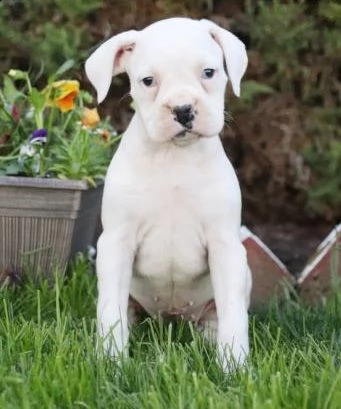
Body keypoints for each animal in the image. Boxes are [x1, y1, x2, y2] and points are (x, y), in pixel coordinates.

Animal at [84, 17, 251, 372]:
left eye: (209, 72)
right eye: (148, 81)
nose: (183, 109)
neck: (174, 156)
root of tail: (173, 318)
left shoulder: (225, 246)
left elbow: (233, 311)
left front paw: (234, 365)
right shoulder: (117, 243)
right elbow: (110, 309)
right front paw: (111, 362)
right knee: (124, 310)